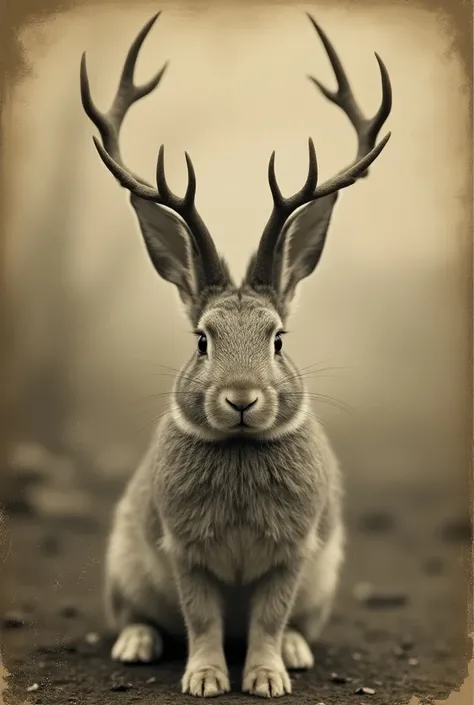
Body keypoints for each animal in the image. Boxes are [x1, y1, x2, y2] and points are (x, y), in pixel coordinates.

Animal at [80, 8, 392, 696]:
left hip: (322, 584)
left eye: (279, 339)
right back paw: (136, 644)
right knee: (139, 616)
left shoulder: (292, 558)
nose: (242, 399)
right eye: (202, 340)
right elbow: (200, 620)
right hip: (124, 567)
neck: (243, 448)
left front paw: (269, 678)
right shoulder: (185, 555)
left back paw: (298, 652)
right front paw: (205, 680)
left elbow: (270, 620)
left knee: (294, 623)